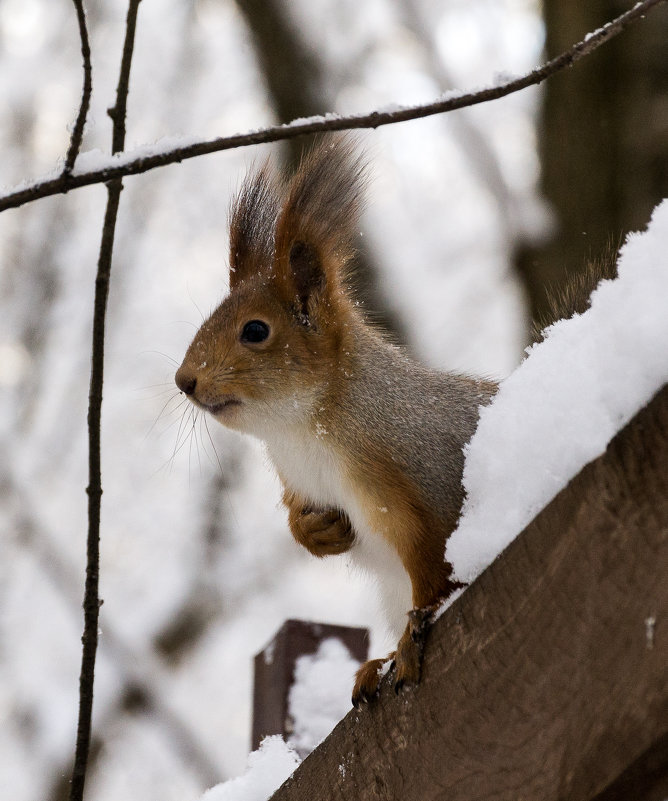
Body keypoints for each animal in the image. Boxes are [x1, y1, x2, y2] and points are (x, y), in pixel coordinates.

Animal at [175, 139, 498, 708]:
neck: (303, 433)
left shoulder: (423, 483)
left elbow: (437, 573)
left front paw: (409, 642)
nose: (183, 380)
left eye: (255, 331)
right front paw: (314, 530)